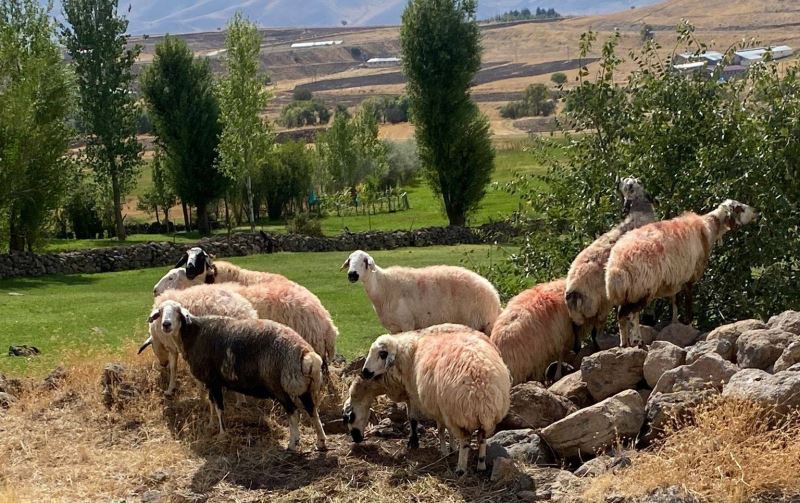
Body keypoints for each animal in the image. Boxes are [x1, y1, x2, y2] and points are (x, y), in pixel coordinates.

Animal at [148, 302, 326, 450]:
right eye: (161, 312)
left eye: (177, 312)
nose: (166, 324)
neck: (192, 334)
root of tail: (306, 355)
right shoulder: (211, 382)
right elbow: (211, 404)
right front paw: (211, 425)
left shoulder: (213, 381)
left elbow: (219, 407)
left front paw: (222, 434)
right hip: (303, 386)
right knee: (312, 410)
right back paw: (321, 442)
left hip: (280, 386)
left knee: (294, 413)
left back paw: (292, 443)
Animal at [342, 250, 500, 336]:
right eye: (349, 261)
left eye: (364, 261)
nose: (352, 275)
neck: (383, 287)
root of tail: (494, 294)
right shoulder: (393, 328)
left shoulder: (407, 323)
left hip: (479, 322)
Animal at [346, 324, 510, 474]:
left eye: (382, 354)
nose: (365, 372)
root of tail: (482, 388)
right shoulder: (436, 406)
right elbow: (443, 429)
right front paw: (450, 448)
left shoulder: (420, 398)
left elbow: (418, 421)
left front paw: (420, 444)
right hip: (484, 416)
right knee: (482, 437)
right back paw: (481, 465)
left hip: (458, 413)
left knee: (465, 440)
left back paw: (461, 468)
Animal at [564, 176, 656, 346]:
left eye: (632, 183)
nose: (618, 181)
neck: (639, 213)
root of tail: (572, 291)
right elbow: (634, 315)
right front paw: (637, 339)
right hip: (600, 305)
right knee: (597, 333)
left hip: (581, 317)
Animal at [608, 199, 764, 348]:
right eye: (739, 208)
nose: (757, 212)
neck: (708, 229)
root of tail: (617, 264)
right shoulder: (689, 277)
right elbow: (688, 304)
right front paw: (688, 325)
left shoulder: (676, 279)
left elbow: (675, 303)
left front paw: (675, 325)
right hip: (642, 287)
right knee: (627, 315)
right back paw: (631, 342)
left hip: (631, 291)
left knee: (627, 315)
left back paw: (631, 342)